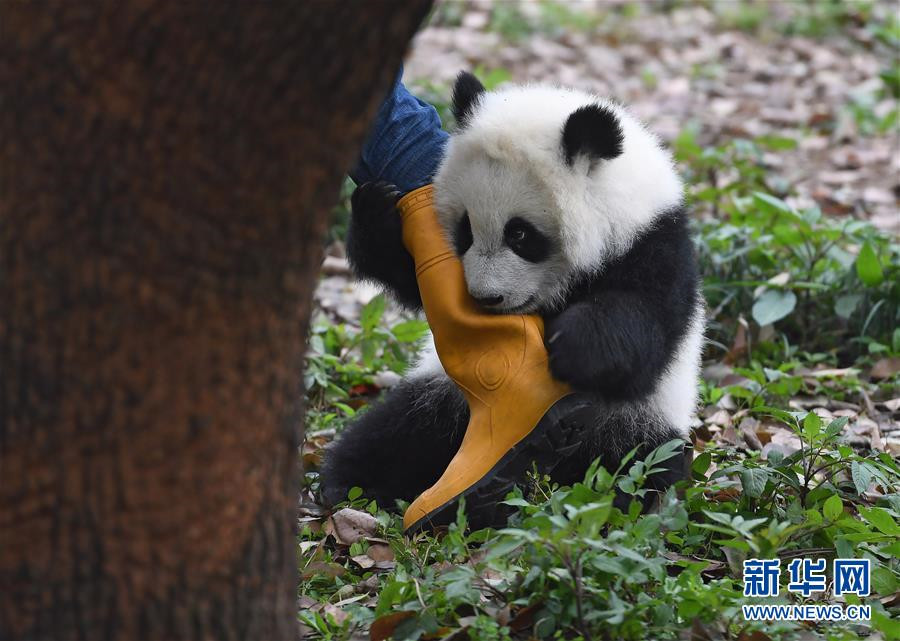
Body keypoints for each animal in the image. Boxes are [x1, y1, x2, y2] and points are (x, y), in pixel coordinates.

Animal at [321, 72, 705, 516]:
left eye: (520, 234)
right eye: (465, 229)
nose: (485, 298)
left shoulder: (654, 244)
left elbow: (643, 327)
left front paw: (572, 344)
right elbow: (411, 278)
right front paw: (378, 208)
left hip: (635, 420)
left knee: (636, 464)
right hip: (445, 396)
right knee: (397, 433)